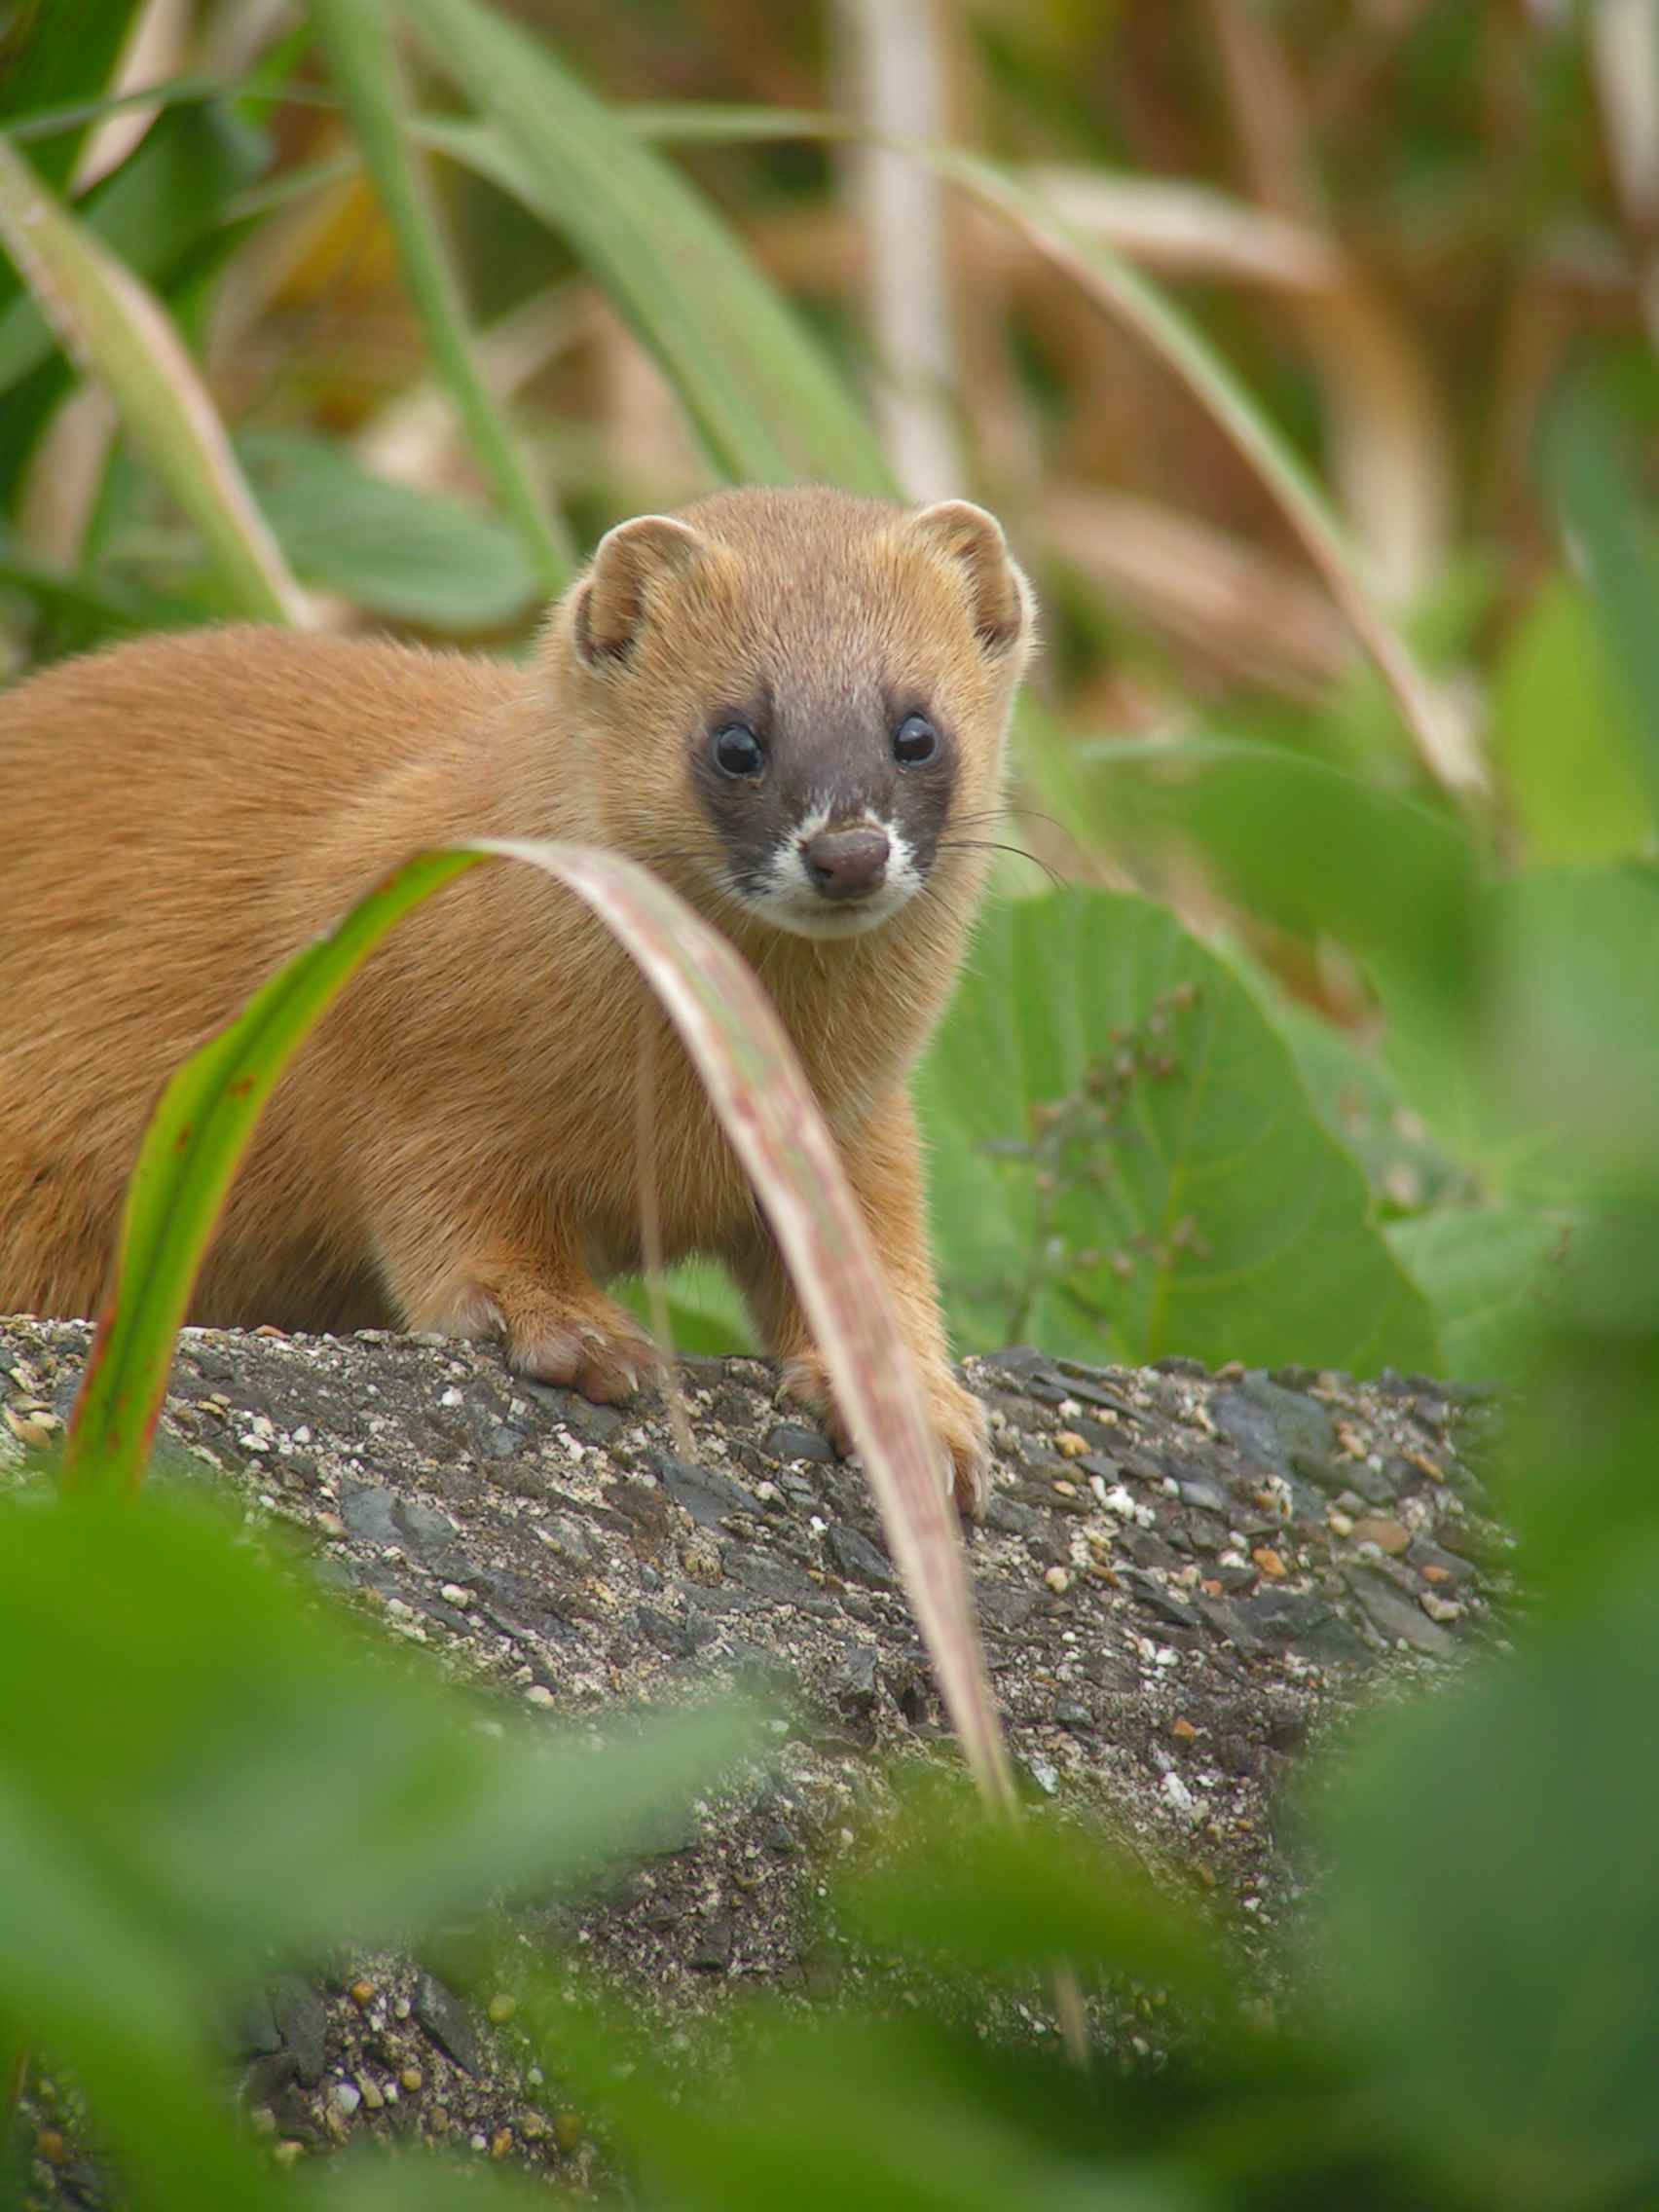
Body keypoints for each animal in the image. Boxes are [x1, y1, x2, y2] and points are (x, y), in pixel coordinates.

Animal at [0, 491, 1039, 1513]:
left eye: (917, 731)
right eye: (736, 740)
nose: (848, 852)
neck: (678, 1122)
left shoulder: (860, 1121)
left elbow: (877, 1259)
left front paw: (917, 1414)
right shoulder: (408, 1052)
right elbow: (456, 1213)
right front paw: (572, 1331)